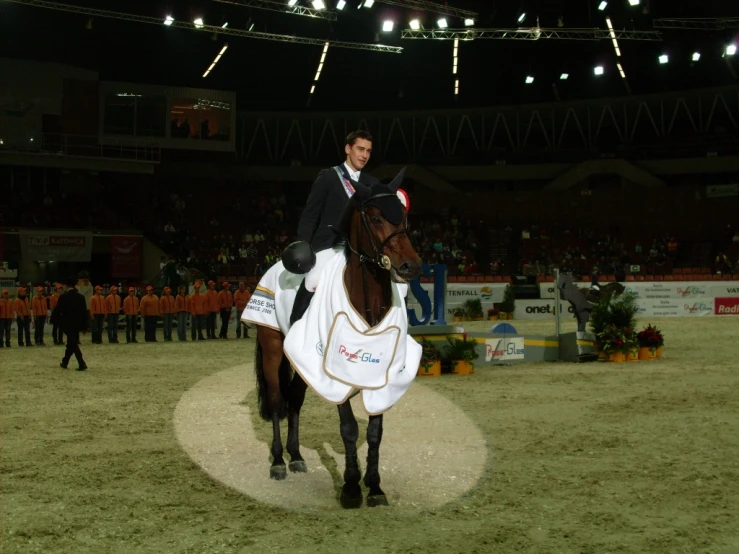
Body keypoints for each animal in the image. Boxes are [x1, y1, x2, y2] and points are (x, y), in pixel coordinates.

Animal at [254, 174, 420, 508]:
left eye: (404, 217)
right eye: (376, 217)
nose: (411, 265)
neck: (367, 302)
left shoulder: (380, 371)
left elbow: (375, 431)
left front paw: (375, 487)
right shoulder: (337, 369)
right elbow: (349, 428)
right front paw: (352, 488)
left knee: (295, 401)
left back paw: (296, 456)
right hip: (273, 348)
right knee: (277, 401)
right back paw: (278, 461)